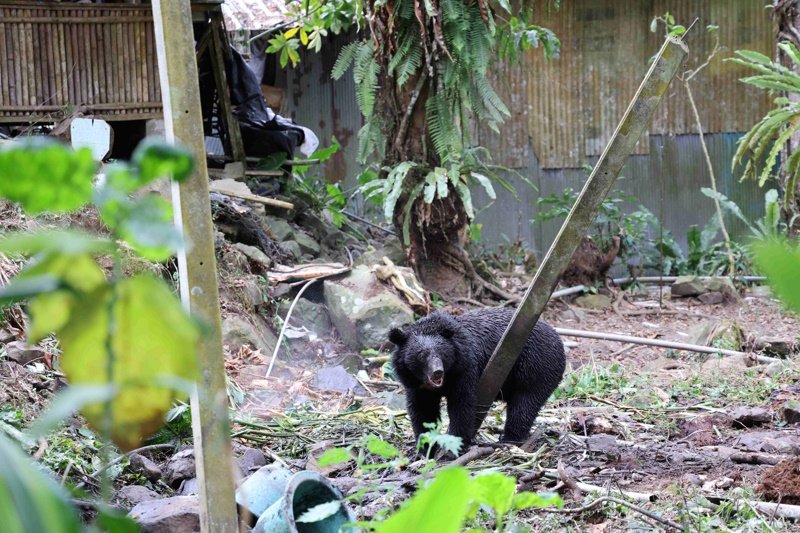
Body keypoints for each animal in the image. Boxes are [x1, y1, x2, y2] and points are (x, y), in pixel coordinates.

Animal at [388, 307, 566, 454]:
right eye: (421, 355)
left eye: (441, 353)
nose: (437, 372)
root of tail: (559, 340)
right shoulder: (414, 383)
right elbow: (423, 410)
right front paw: (426, 448)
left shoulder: (465, 370)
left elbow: (462, 404)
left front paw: (455, 445)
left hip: (535, 368)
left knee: (524, 405)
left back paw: (510, 439)